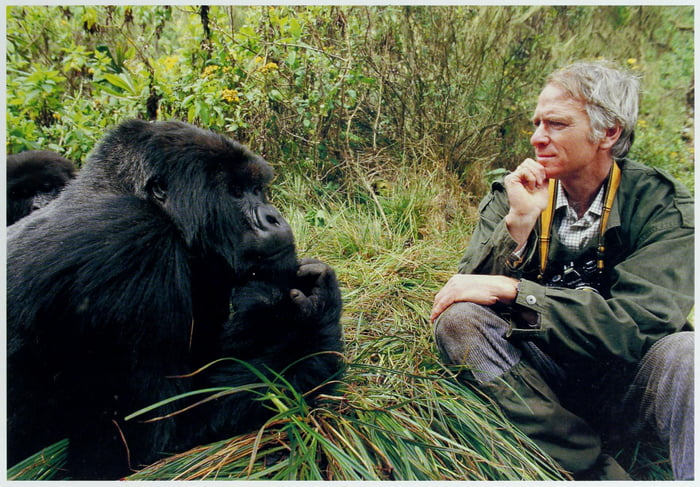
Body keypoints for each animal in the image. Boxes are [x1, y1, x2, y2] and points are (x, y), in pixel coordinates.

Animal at [5, 119, 344, 480]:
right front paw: (310, 323)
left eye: (256, 189)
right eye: (235, 192)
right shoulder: (137, 246)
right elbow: (141, 445)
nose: (273, 217)